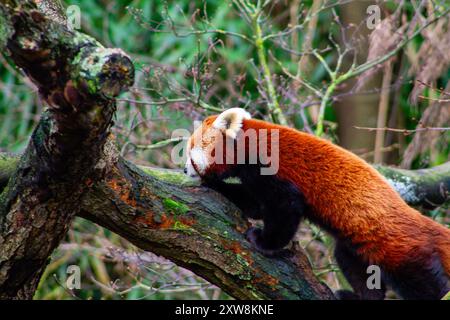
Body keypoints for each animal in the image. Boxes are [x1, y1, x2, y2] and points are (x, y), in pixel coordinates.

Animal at [184, 108, 450, 300]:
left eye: (190, 151)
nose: (185, 170)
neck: (247, 145)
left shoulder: (271, 170)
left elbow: (285, 207)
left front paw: (264, 242)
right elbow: (254, 205)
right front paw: (213, 185)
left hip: (402, 251)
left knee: (425, 285)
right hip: (357, 247)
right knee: (356, 267)